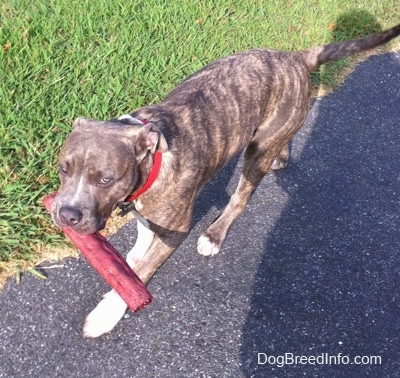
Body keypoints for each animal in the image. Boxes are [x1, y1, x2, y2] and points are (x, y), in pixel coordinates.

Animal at [50, 24, 400, 336]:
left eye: (106, 179)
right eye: (63, 169)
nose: (66, 214)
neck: (150, 160)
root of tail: (294, 57)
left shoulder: (176, 228)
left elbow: (144, 270)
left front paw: (108, 311)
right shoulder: (144, 207)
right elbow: (142, 232)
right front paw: (133, 256)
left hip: (256, 153)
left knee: (241, 198)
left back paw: (215, 234)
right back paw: (283, 156)